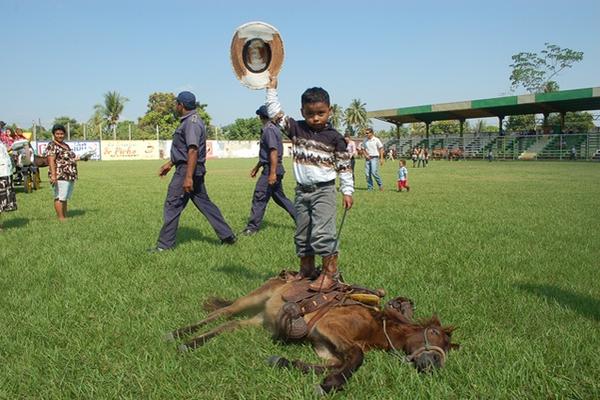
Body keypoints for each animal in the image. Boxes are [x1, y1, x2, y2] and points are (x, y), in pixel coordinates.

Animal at [165, 272, 460, 394]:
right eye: (434, 333)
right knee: (221, 313)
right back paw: (179, 334)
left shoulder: (326, 349)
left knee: (228, 325)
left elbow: (334, 363)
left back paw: (191, 344)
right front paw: (328, 386)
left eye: (447, 348)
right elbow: (357, 356)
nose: (435, 364)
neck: (374, 325)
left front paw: (283, 361)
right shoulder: (329, 328)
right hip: (252, 299)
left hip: (260, 319)